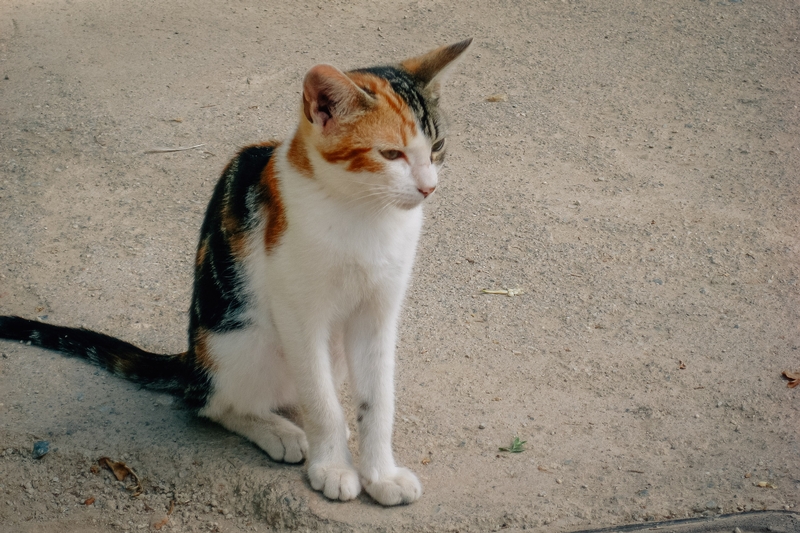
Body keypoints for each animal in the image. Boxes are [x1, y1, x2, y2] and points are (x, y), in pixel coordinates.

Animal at [0, 39, 472, 504]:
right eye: (390, 154)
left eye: (437, 147)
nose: (428, 187)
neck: (364, 214)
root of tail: (192, 361)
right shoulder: (298, 310)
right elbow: (321, 404)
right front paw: (334, 468)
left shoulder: (379, 309)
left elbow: (378, 400)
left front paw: (380, 474)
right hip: (239, 338)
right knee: (213, 403)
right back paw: (275, 430)